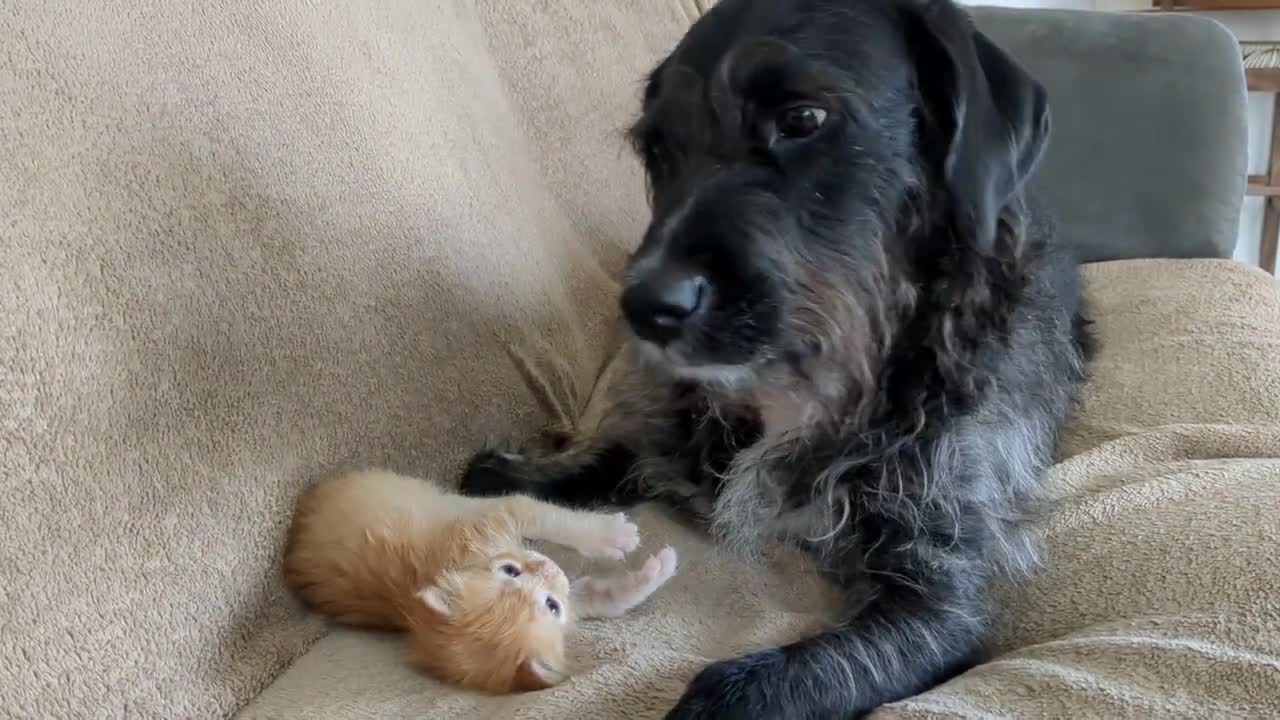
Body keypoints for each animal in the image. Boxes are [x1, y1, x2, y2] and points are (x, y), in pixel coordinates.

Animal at [281, 468, 680, 691]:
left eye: (511, 571)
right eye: (550, 607)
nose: (548, 566)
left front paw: (656, 568)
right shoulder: (502, 514)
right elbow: (548, 516)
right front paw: (612, 536)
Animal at [460, 1, 1090, 712]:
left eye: (803, 119)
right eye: (658, 149)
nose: (645, 308)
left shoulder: (941, 587)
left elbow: (772, 682)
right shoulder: (671, 421)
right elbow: (607, 453)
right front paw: (515, 474)